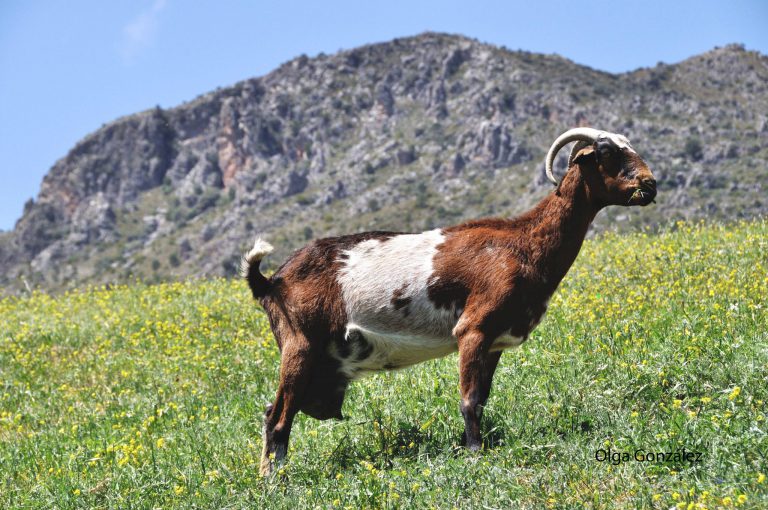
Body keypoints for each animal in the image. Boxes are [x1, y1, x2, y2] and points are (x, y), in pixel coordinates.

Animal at [243, 126, 656, 474]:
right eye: (606, 152)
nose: (650, 185)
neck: (522, 244)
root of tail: (271, 281)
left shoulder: (494, 342)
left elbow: (483, 398)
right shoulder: (473, 329)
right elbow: (469, 398)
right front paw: (474, 453)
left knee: (272, 410)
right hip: (300, 345)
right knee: (277, 418)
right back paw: (274, 481)